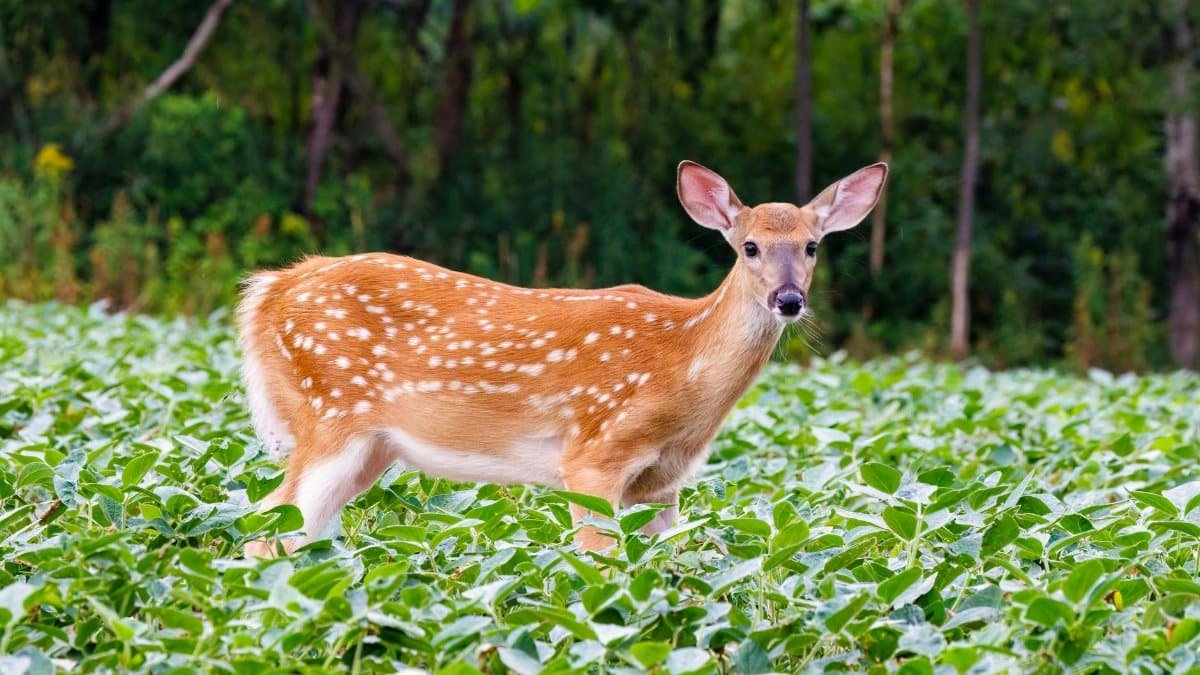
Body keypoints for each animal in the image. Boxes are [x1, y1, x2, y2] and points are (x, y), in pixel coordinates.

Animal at [238, 161, 887, 557]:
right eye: (749, 246)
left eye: (812, 246)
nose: (789, 300)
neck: (682, 365)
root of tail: (269, 291)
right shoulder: (595, 454)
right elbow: (601, 566)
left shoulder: (662, 484)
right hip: (329, 411)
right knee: (264, 524)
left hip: (370, 446)